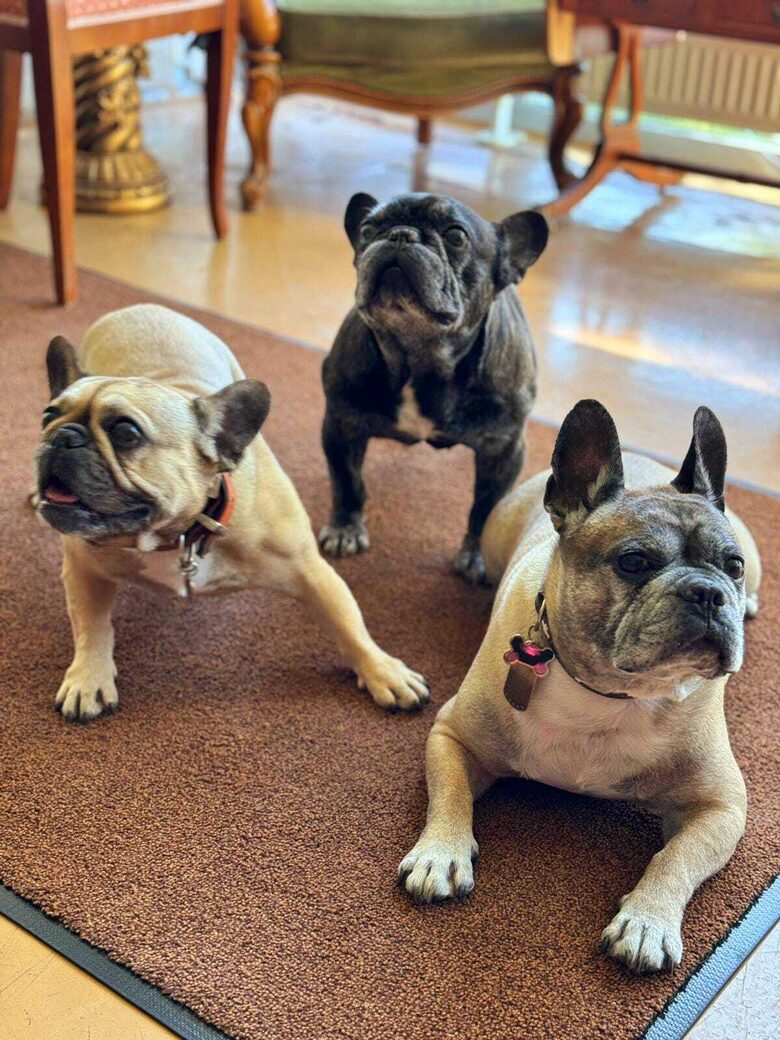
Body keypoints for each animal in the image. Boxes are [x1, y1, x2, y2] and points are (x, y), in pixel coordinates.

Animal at [35, 304, 430, 720]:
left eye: (126, 433)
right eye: (47, 416)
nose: (61, 436)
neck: (181, 531)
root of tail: (142, 307)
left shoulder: (310, 570)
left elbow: (349, 624)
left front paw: (383, 671)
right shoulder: (82, 566)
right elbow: (91, 626)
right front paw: (88, 676)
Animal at [319, 192, 548, 585]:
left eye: (456, 236)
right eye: (367, 230)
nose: (400, 234)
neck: (420, 359)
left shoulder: (503, 449)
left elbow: (486, 507)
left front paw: (477, 554)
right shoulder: (340, 425)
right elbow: (347, 482)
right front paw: (345, 528)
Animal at [398, 400, 761, 974]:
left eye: (733, 566)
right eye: (633, 562)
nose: (709, 591)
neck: (608, 695)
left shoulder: (720, 807)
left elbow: (676, 858)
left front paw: (648, 921)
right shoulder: (452, 736)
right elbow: (450, 794)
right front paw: (440, 853)